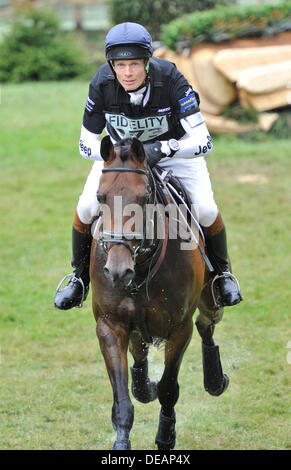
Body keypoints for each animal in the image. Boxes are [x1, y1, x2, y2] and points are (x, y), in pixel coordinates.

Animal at [90, 137, 229, 452]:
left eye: (143, 199)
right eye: (101, 197)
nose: (117, 270)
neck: (141, 267)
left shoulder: (179, 329)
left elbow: (168, 389)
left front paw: (166, 436)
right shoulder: (110, 326)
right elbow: (123, 401)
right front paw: (122, 442)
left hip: (210, 300)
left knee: (206, 324)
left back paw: (215, 379)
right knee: (139, 353)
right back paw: (145, 384)